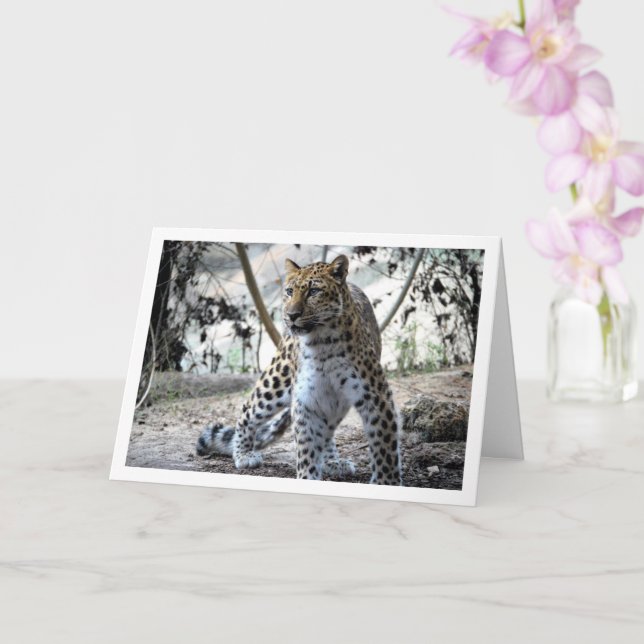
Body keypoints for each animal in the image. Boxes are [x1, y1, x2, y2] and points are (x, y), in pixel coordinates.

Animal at [196, 254, 402, 485]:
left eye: (314, 291)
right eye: (289, 291)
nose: (291, 315)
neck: (322, 344)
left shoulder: (374, 396)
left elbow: (384, 446)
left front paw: (386, 482)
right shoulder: (306, 400)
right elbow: (306, 448)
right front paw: (307, 477)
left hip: (336, 400)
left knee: (328, 430)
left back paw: (332, 461)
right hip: (277, 380)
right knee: (248, 409)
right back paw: (243, 454)